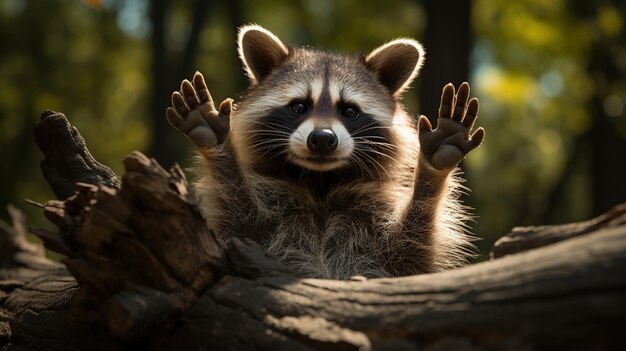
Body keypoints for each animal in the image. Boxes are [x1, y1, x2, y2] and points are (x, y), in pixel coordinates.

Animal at [165, 24, 482, 280]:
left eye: (350, 111)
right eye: (299, 106)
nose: (322, 139)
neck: (320, 186)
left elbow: (413, 249)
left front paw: (430, 173)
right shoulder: (251, 231)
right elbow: (237, 216)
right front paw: (222, 149)